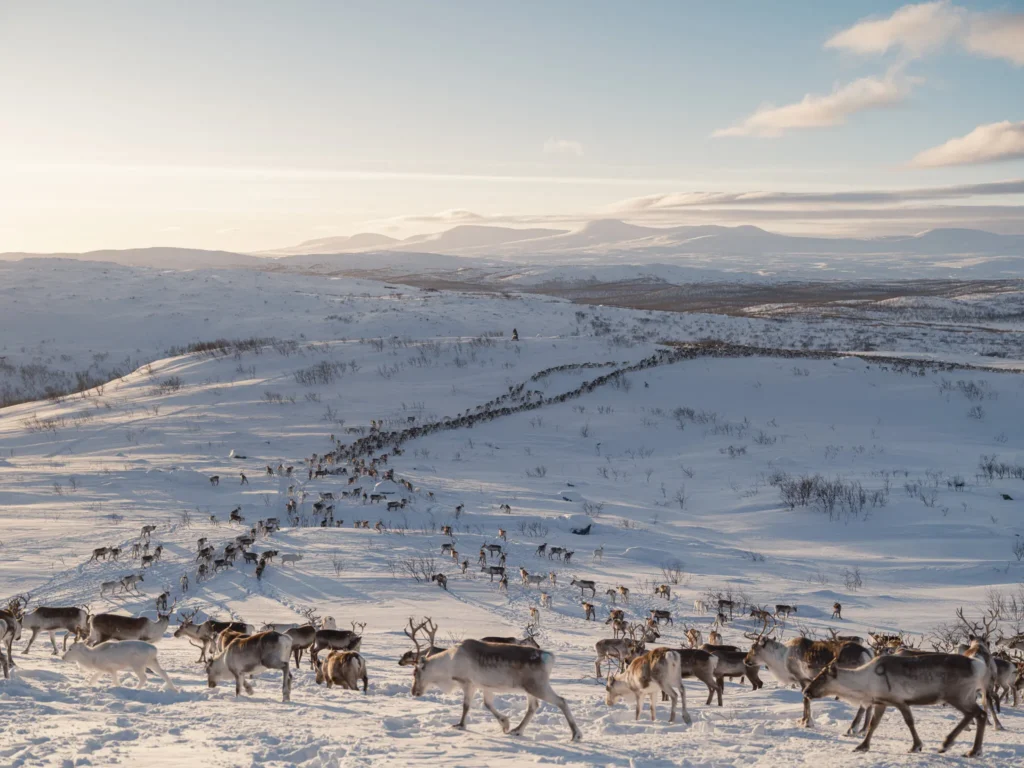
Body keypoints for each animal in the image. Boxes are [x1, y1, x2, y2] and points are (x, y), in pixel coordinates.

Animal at [406, 615, 582, 741]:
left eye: (415, 673)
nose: (414, 692)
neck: (449, 664)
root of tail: (550, 657)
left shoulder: (468, 683)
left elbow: (466, 706)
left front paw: (460, 725)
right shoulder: (486, 686)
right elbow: (487, 704)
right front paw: (505, 724)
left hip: (538, 686)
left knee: (561, 701)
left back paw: (576, 735)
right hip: (530, 688)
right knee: (533, 706)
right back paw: (517, 730)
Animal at [805, 653, 989, 756]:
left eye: (822, 677)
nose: (806, 691)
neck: (864, 684)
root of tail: (978, 665)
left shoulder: (900, 701)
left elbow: (909, 722)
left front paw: (916, 746)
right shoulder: (882, 702)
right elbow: (873, 724)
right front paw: (862, 746)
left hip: (958, 696)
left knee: (975, 714)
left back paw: (948, 744)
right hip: (963, 697)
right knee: (979, 714)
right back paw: (973, 750)